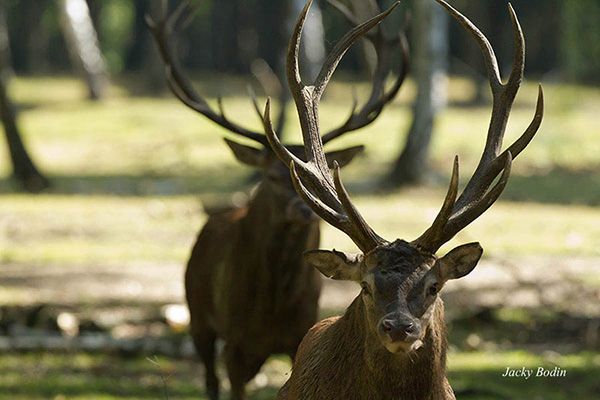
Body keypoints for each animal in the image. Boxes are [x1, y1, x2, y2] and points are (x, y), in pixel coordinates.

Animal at [147, 1, 408, 398]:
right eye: (270, 176)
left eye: (315, 183)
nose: (303, 210)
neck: (272, 309)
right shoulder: (234, 342)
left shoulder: (298, 333)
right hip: (198, 316)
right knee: (209, 378)